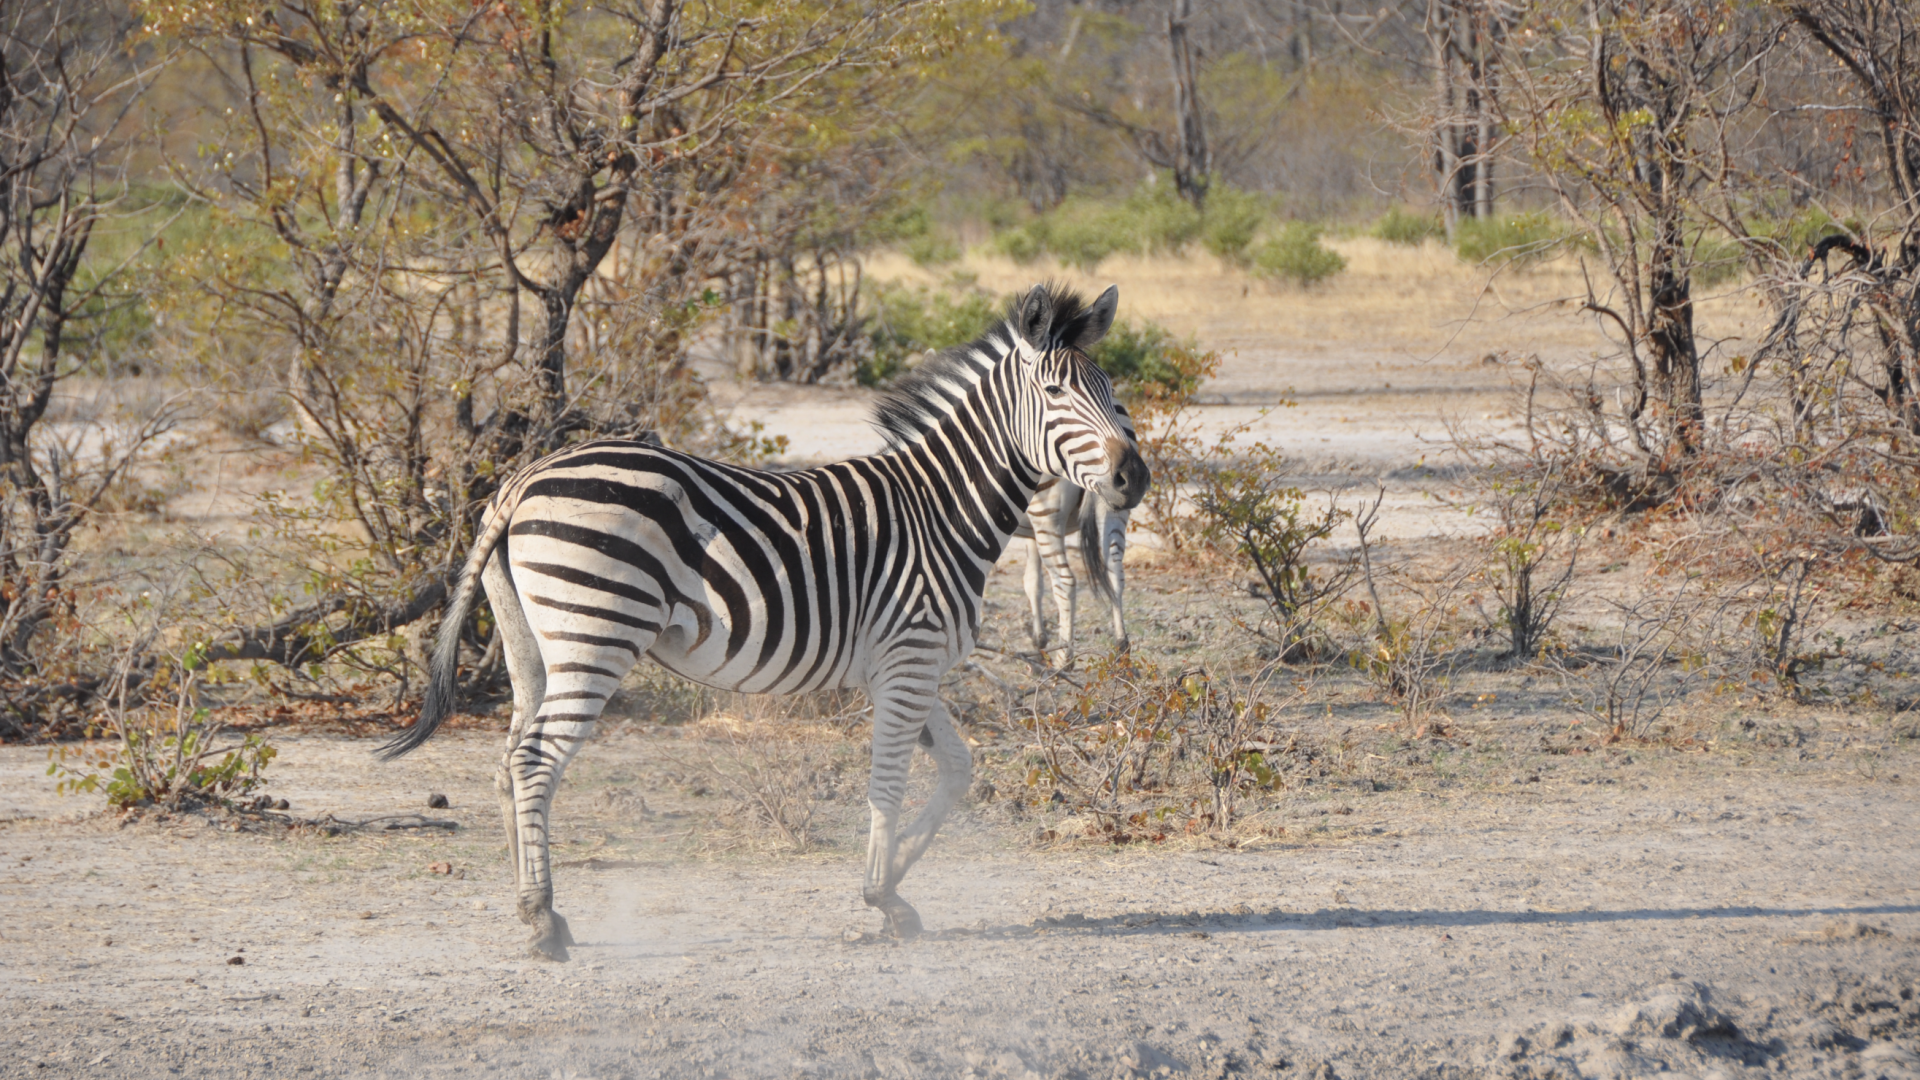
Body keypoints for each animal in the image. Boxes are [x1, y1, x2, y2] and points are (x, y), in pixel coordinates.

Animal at [382, 282, 1144, 953]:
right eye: (1055, 395)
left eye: (1110, 390)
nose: (1134, 477)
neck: (940, 507)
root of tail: (522, 479)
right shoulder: (909, 656)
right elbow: (887, 782)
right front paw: (879, 896)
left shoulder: (906, 665)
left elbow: (956, 769)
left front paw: (895, 888)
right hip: (596, 635)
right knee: (536, 759)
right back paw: (541, 920)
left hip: (532, 645)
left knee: (507, 761)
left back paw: (534, 910)